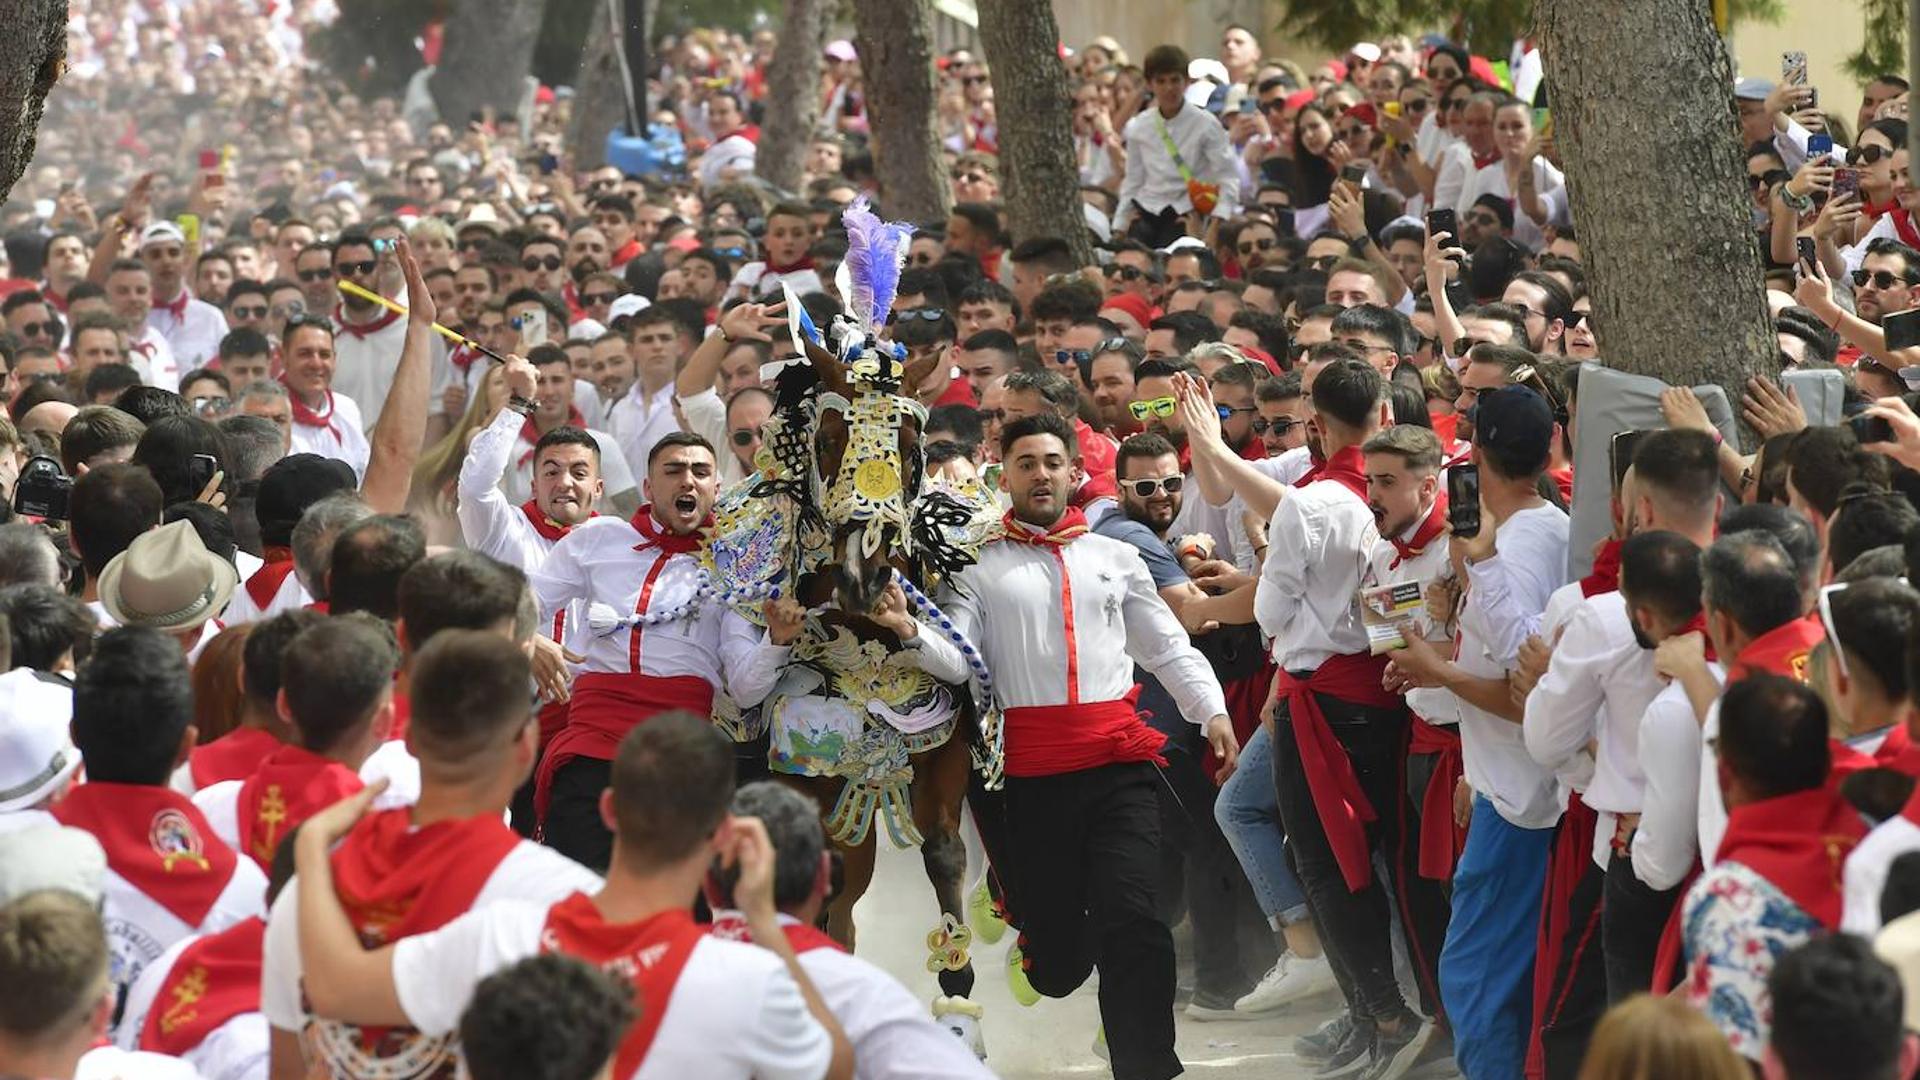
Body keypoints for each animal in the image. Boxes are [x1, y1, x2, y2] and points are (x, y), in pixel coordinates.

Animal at [702, 201, 1006, 1045]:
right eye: (833, 439)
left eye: (909, 446)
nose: (871, 570)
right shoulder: (795, 775)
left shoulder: (940, 744)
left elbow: (945, 856)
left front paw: (959, 1009)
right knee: (832, 897)